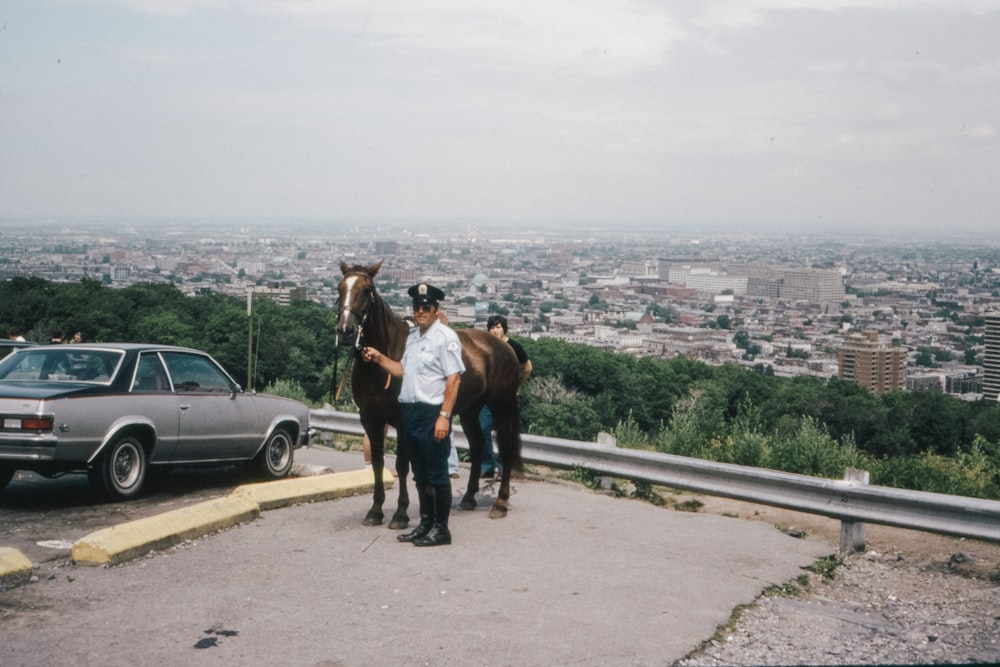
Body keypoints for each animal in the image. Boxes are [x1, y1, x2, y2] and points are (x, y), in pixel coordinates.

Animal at [336, 260, 524, 528]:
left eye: (367, 289)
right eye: (340, 288)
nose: (346, 330)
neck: (381, 364)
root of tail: (504, 347)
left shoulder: (404, 421)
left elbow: (402, 465)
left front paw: (400, 514)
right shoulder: (370, 419)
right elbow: (378, 463)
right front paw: (375, 511)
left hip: (502, 405)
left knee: (506, 447)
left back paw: (500, 503)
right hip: (470, 409)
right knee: (478, 444)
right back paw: (468, 498)